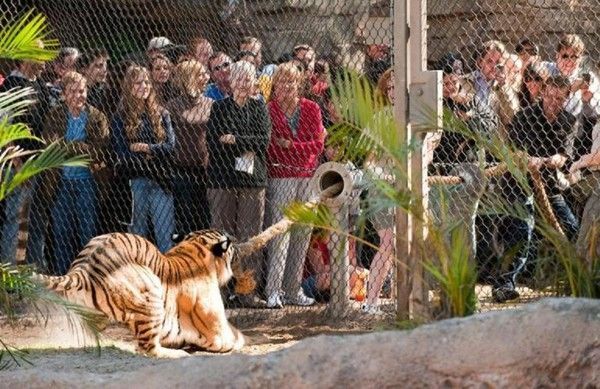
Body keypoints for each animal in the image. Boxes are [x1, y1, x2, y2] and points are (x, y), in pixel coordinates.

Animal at [35, 227, 255, 358]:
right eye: (230, 243)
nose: (236, 238)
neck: (194, 248)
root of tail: (83, 267)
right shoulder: (219, 333)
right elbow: (237, 337)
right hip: (152, 293)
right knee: (148, 348)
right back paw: (177, 354)